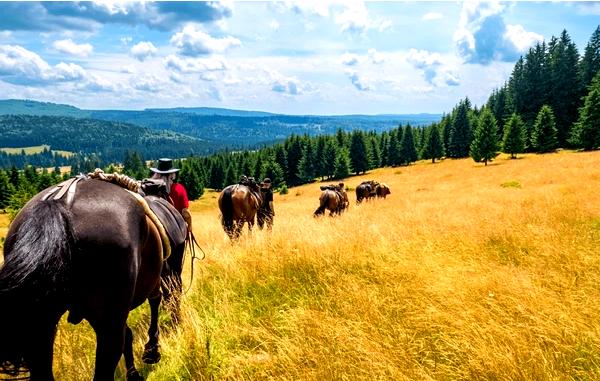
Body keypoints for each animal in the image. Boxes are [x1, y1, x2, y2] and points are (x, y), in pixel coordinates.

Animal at [0, 179, 186, 380]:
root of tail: (60, 203)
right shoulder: (159, 279)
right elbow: (159, 301)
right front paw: (152, 350)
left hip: (40, 329)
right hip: (108, 325)